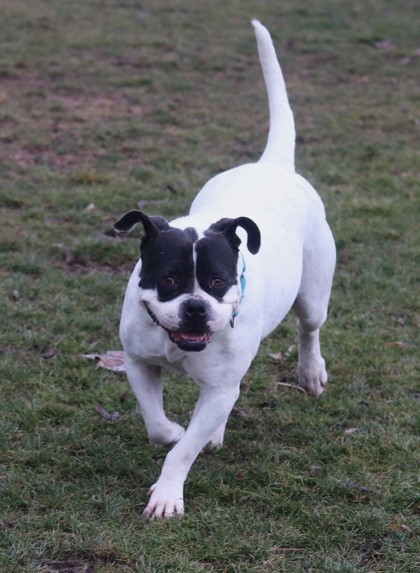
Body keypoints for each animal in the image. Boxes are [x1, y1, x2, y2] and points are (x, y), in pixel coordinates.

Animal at [114, 20, 334, 520]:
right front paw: (176, 431)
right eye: (169, 280)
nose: (195, 307)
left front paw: (167, 494)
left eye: (217, 282)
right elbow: (160, 427)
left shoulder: (216, 388)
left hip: (314, 294)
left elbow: (182, 451)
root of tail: (273, 164)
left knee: (309, 329)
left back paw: (310, 372)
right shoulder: (138, 363)